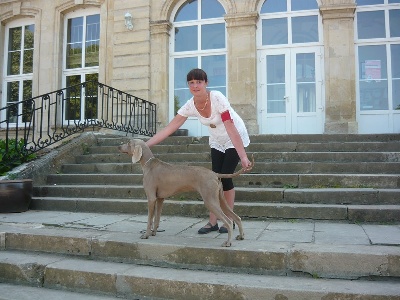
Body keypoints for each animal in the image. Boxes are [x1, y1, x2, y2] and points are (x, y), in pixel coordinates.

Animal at [117, 138, 253, 246]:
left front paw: (146, 234)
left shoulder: (151, 198)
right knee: (237, 217)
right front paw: (154, 232)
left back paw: (228, 242)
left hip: (210, 200)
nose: (118, 146)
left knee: (229, 222)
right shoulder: (160, 199)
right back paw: (241, 236)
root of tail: (215, 174)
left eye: (128, 143)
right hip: (220, 199)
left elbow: (149, 220)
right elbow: (157, 219)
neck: (148, 163)